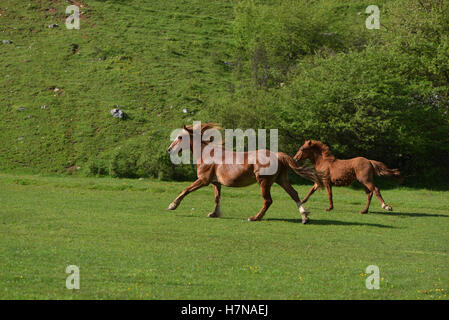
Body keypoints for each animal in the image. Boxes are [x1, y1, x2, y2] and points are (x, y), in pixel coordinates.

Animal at [165, 124, 322, 224]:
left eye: (180, 137)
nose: (169, 149)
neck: (207, 154)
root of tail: (277, 155)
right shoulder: (215, 182)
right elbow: (217, 198)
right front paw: (214, 214)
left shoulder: (203, 180)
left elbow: (186, 190)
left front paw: (172, 205)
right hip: (281, 180)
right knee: (294, 194)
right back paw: (304, 217)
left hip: (264, 182)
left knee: (268, 201)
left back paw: (254, 218)